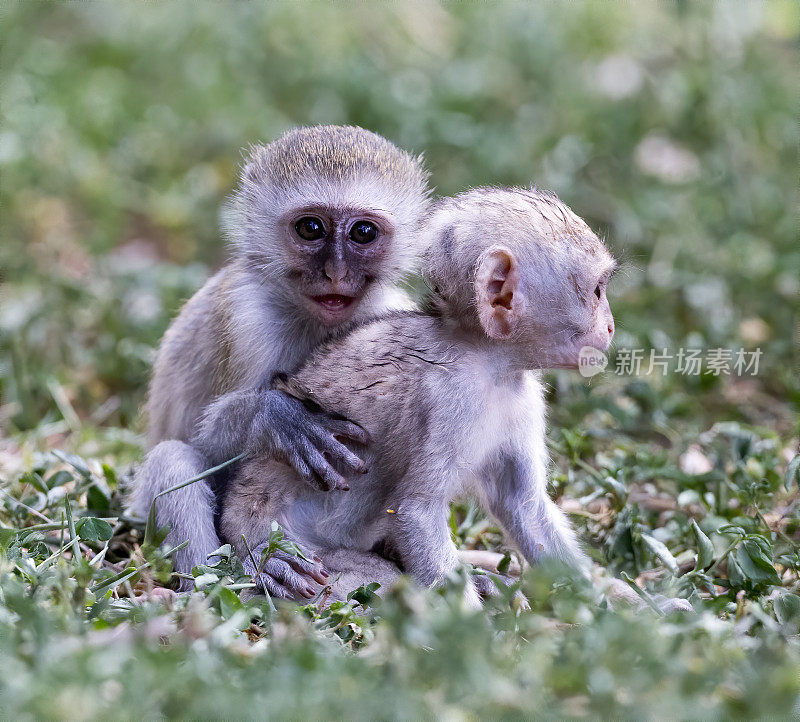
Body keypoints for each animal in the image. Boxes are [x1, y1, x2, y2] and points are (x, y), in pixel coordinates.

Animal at [219, 187, 620, 600]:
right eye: (597, 291)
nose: (609, 326)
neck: (487, 359)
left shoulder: (523, 398)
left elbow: (524, 508)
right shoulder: (451, 400)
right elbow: (417, 512)